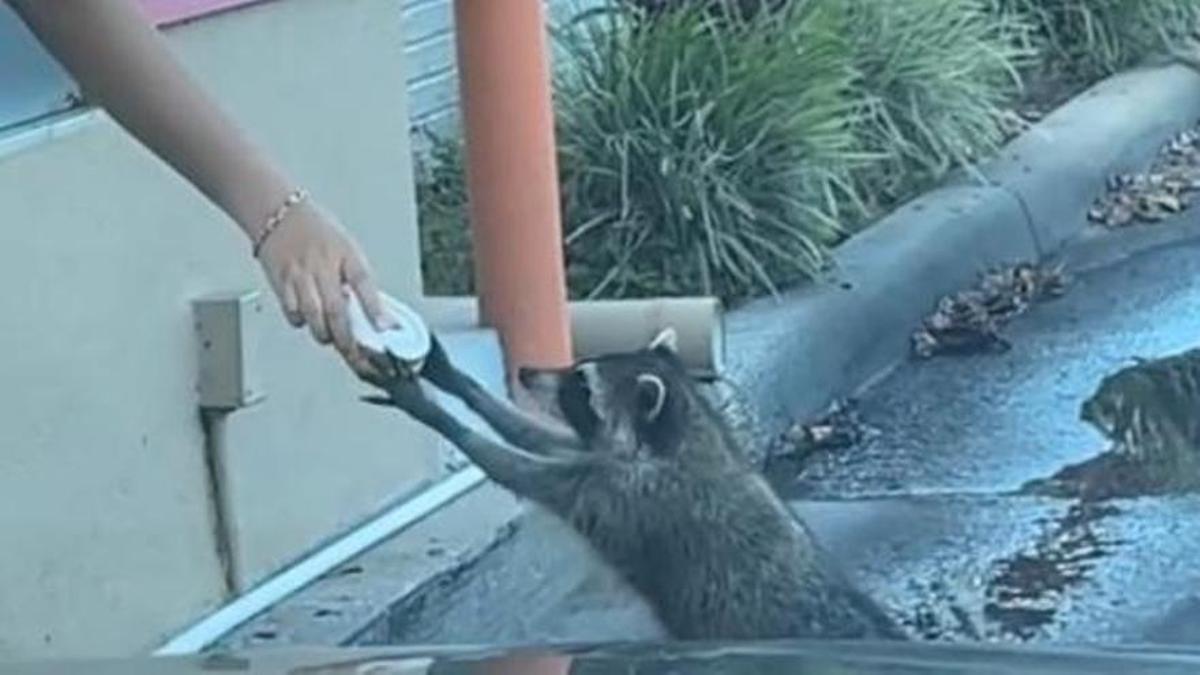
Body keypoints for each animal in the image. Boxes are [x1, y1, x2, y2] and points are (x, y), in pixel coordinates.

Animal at [360, 329, 902, 638]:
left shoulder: (630, 497)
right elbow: (542, 437)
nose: (527, 370)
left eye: (581, 383)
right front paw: (458, 382)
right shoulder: (607, 464)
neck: (679, 437)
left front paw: (440, 417)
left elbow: (523, 470)